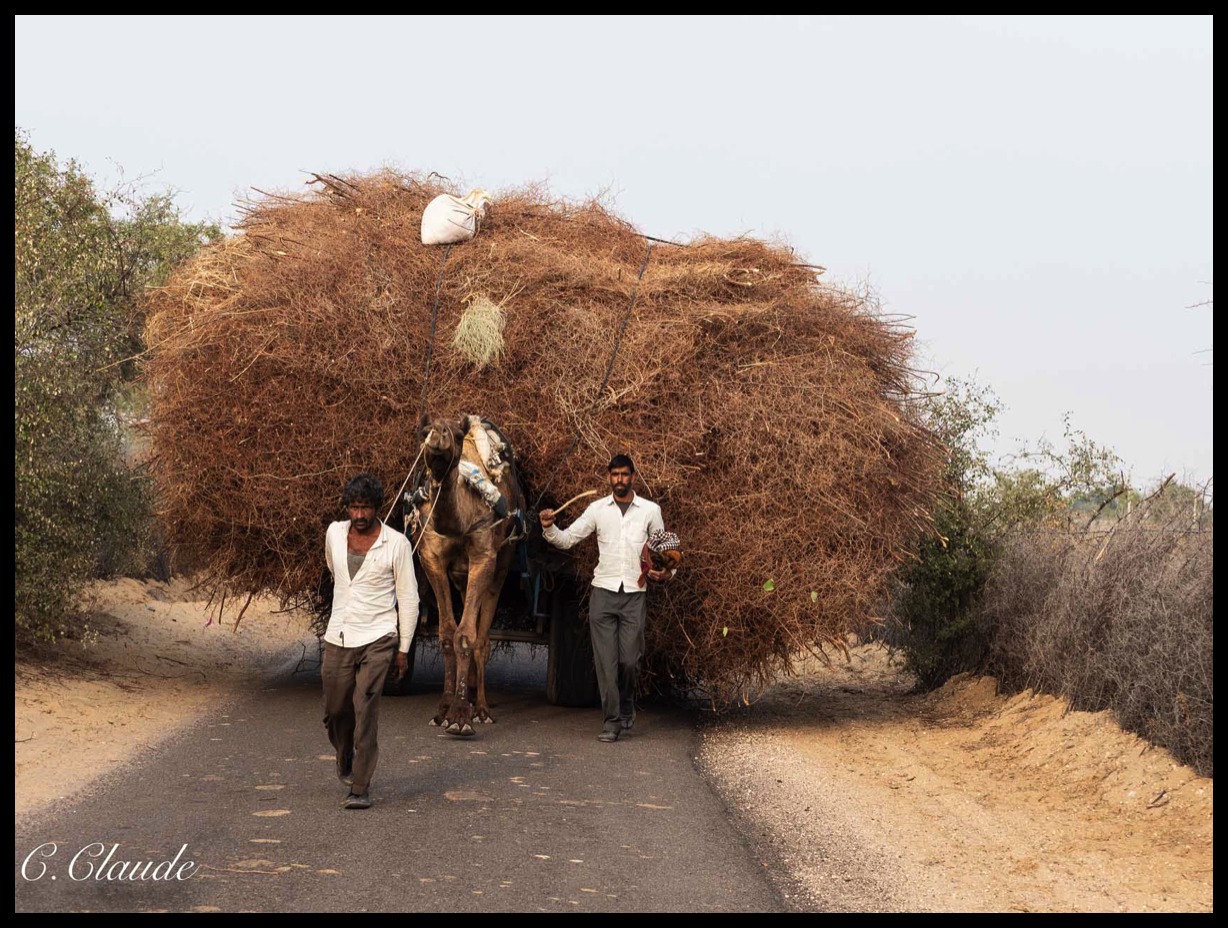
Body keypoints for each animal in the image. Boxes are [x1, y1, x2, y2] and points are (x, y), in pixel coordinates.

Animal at [407, 412, 523, 731]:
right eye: (424, 431)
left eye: (457, 436)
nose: (438, 434)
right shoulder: (430, 557)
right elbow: (448, 633)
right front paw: (444, 707)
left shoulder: (484, 557)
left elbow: (467, 636)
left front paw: (460, 715)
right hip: (460, 577)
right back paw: (470, 692)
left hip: (502, 563)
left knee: (483, 637)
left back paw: (481, 707)